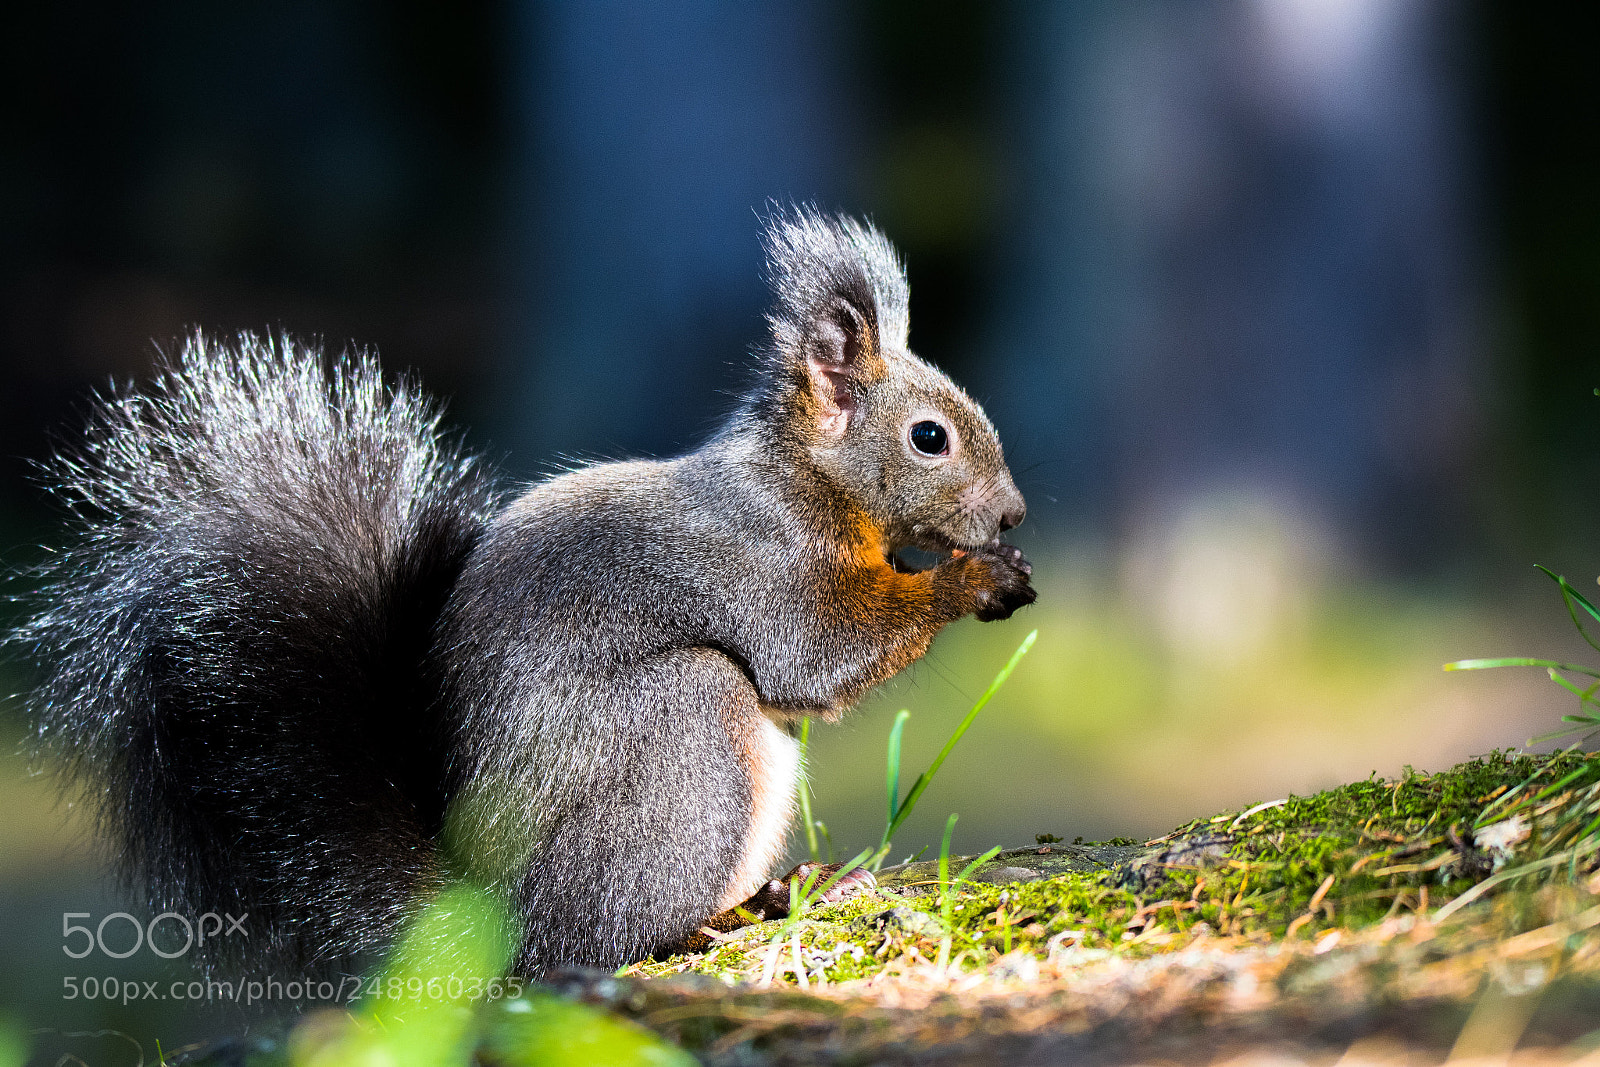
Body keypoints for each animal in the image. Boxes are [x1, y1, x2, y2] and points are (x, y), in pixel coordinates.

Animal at [13, 208, 1035, 977]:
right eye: (930, 437)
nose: (1014, 514)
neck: (806, 477)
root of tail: (500, 920)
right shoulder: (761, 560)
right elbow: (816, 655)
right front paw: (973, 577)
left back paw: (790, 886)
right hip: (684, 731)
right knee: (614, 935)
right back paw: (731, 917)